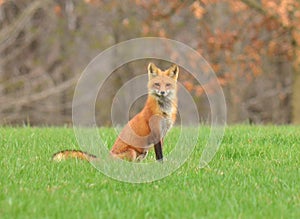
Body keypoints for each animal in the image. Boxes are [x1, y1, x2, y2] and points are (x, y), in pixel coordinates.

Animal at [51, 62, 179, 162]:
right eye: (157, 84)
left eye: (168, 85)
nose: (162, 92)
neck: (164, 111)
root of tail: (107, 157)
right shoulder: (156, 133)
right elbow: (160, 156)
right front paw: (161, 166)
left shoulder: (162, 134)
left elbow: (160, 154)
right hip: (132, 152)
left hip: (143, 152)